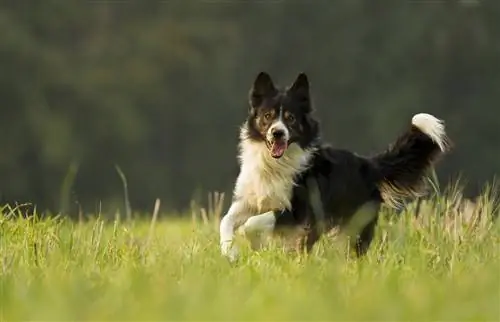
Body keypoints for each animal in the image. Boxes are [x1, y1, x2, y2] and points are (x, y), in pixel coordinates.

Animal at [221, 71, 452, 260]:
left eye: (291, 118)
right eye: (267, 116)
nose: (278, 133)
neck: (274, 164)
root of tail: (368, 165)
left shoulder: (300, 211)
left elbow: (251, 224)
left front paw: (253, 245)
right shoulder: (251, 200)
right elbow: (226, 220)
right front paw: (229, 252)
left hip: (353, 226)